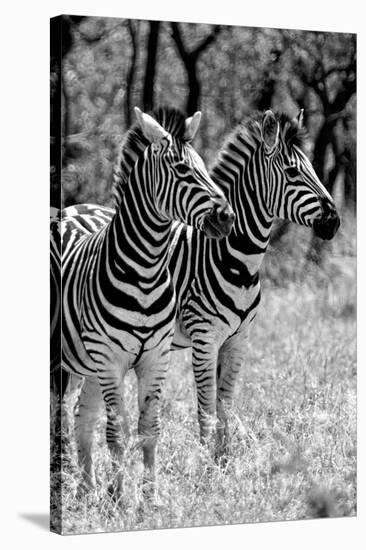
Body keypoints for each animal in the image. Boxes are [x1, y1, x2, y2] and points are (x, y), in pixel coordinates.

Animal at [58, 105, 234, 498]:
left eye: (204, 166)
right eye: (182, 170)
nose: (228, 217)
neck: (146, 271)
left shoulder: (155, 358)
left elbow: (149, 431)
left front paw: (149, 497)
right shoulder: (111, 362)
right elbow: (117, 434)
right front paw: (120, 496)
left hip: (88, 364)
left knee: (81, 416)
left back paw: (86, 489)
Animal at [69, 108, 340, 466]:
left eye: (311, 168)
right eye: (293, 172)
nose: (335, 221)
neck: (235, 261)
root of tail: (77, 206)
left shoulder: (238, 340)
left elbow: (225, 408)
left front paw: (223, 462)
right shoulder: (204, 338)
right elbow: (206, 411)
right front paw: (207, 467)